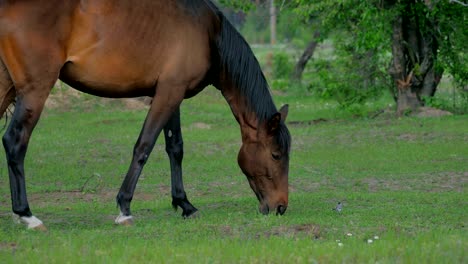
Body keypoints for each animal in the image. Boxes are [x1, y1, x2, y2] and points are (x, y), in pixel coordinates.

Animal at [0, 0, 290, 229]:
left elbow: (175, 148)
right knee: (14, 141)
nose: (281, 207)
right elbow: (144, 146)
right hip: (35, 90)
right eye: (276, 155)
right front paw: (124, 208)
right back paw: (27, 215)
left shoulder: (172, 93)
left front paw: (185, 204)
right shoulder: (168, 94)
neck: (207, 32)